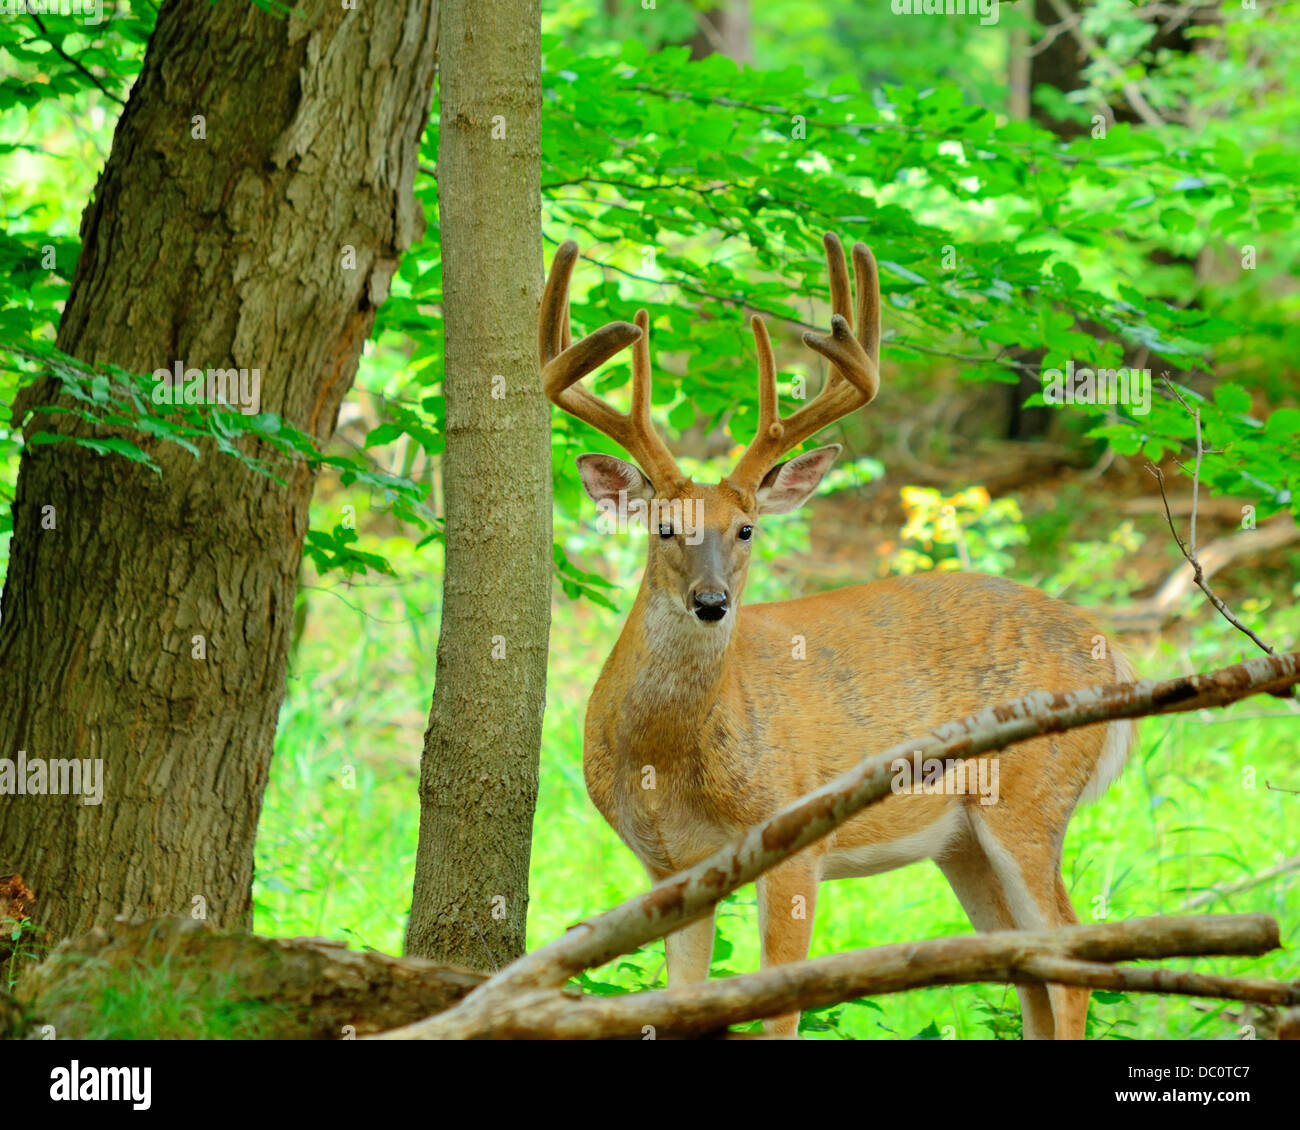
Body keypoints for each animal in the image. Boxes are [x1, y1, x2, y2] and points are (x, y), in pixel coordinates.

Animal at [538, 233, 1137, 1039]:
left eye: (747, 528)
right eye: (664, 526)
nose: (711, 602)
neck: (667, 763)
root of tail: (1118, 655)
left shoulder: (795, 839)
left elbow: (779, 1007)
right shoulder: (669, 869)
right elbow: (680, 1002)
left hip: (1030, 794)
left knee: (1070, 962)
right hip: (963, 843)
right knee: (1026, 969)